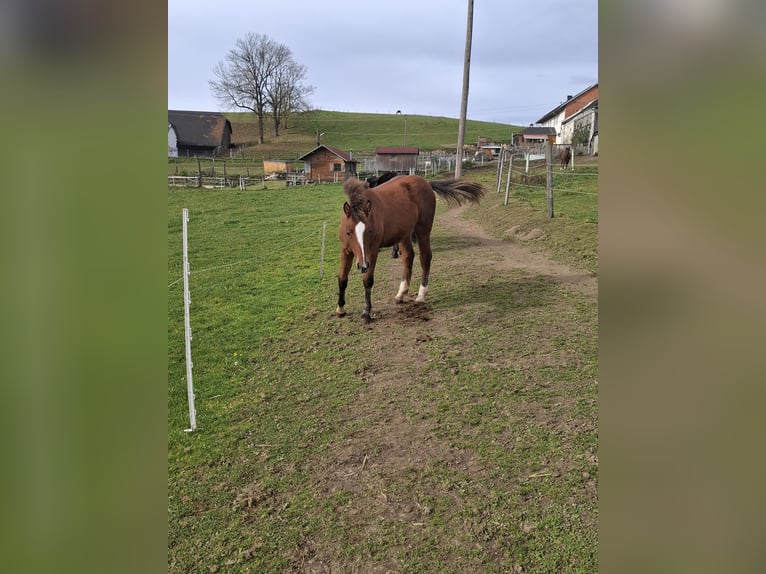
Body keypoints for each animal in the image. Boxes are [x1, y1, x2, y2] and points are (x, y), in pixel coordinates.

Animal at [336, 174, 486, 323]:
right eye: (348, 232)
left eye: (370, 231)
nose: (362, 265)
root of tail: (426, 183)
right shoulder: (345, 251)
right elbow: (342, 278)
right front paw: (340, 309)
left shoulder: (372, 252)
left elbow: (367, 281)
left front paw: (366, 313)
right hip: (404, 234)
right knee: (408, 257)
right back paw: (401, 294)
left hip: (423, 229)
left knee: (425, 257)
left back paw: (421, 295)